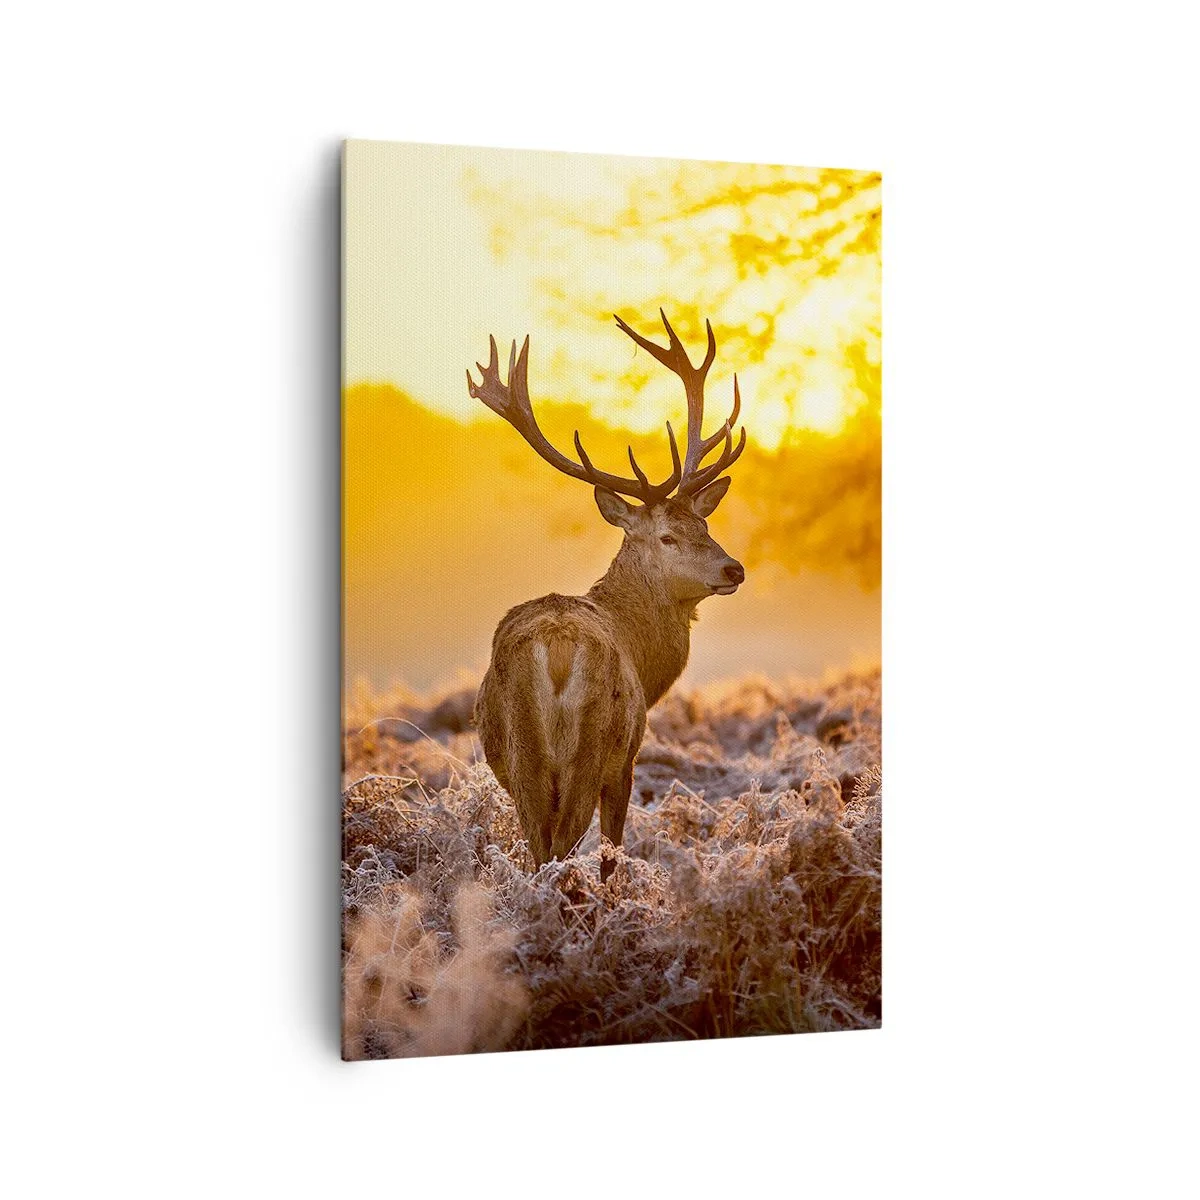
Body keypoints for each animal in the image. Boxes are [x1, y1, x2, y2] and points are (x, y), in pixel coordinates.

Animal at [466, 311, 746, 881]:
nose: (734, 568)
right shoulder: (627, 758)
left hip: (523, 754)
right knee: (564, 847)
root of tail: (555, 649)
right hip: (591, 746)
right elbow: (612, 852)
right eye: (667, 536)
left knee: (540, 849)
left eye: (704, 524)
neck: (644, 656)